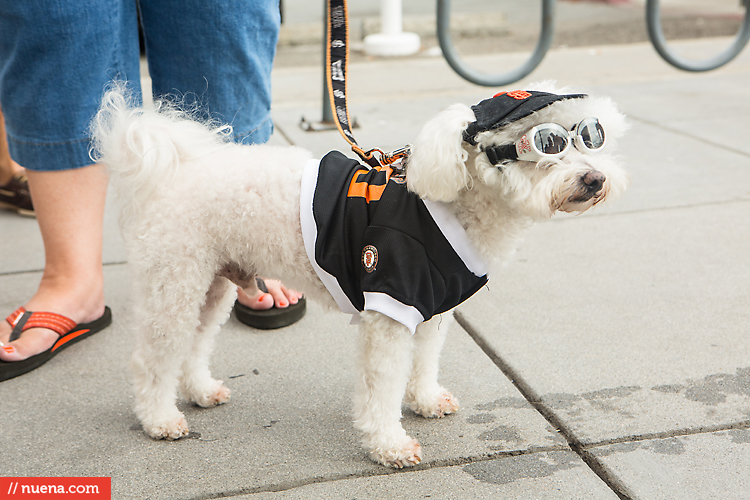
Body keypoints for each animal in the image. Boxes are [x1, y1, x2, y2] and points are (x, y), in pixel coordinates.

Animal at [92, 82, 628, 468]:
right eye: (545, 143)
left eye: (590, 136)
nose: (594, 178)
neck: (454, 198)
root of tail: (175, 169)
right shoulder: (389, 309)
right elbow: (383, 384)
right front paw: (389, 444)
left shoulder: (431, 308)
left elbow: (424, 362)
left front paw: (425, 400)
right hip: (175, 281)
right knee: (152, 359)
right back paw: (160, 419)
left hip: (211, 285)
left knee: (195, 344)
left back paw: (199, 392)